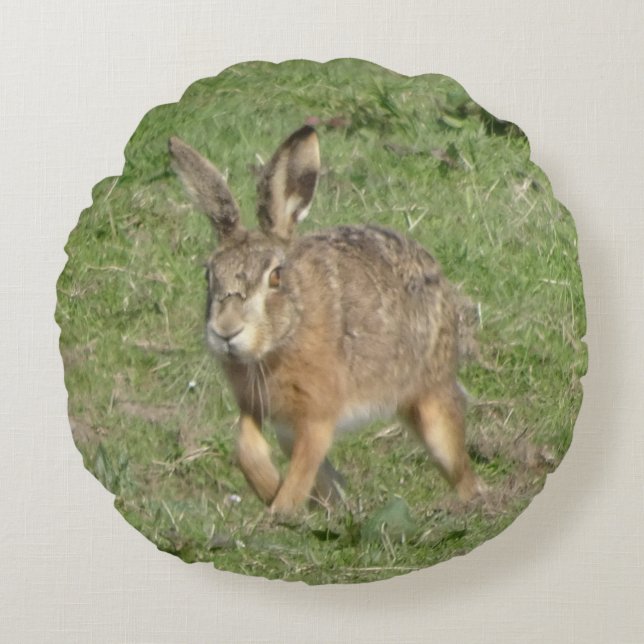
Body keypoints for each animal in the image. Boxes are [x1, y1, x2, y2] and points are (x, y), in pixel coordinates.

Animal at [168, 125, 482, 516]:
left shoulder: (317, 416)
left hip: (431, 402)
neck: (282, 338)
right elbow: (246, 444)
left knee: (458, 466)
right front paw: (268, 487)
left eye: (275, 278)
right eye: (208, 276)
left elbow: (303, 467)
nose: (227, 331)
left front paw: (280, 511)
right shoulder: (259, 407)